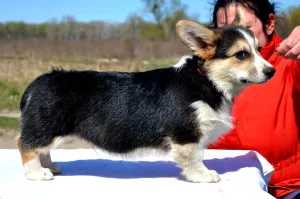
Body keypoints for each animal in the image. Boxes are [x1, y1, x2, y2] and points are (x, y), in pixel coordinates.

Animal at [15, 11, 274, 182]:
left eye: (259, 49)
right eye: (241, 55)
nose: (272, 72)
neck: (207, 80)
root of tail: (37, 83)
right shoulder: (186, 134)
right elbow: (193, 157)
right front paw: (204, 175)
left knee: (40, 148)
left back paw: (50, 166)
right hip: (46, 127)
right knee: (26, 144)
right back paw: (37, 173)